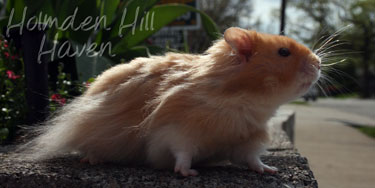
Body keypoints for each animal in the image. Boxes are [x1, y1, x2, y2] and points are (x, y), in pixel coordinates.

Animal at [25, 26, 322, 176]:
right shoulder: (177, 130)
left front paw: (270, 170)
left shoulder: (247, 139)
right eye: (283, 52)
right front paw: (188, 174)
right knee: (86, 146)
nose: (319, 63)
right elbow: (183, 153)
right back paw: (91, 160)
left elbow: (252, 160)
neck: (241, 101)